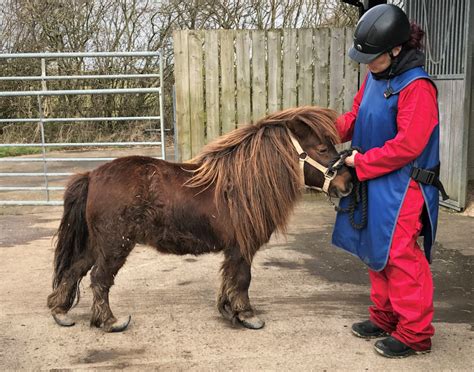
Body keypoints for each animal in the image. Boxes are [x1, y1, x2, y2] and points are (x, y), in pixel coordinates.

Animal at [47, 104, 352, 332]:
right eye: (322, 149)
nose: (348, 183)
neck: (242, 185)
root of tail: (92, 175)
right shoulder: (242, 247)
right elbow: (242, 278)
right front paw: (247, 315)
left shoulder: (233, 249)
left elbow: (230, 277)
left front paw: (229, 310)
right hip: (114, 246)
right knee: (100, 278)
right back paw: (109, 321)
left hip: (96, 244)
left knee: (74, 270)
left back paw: (61, 312)